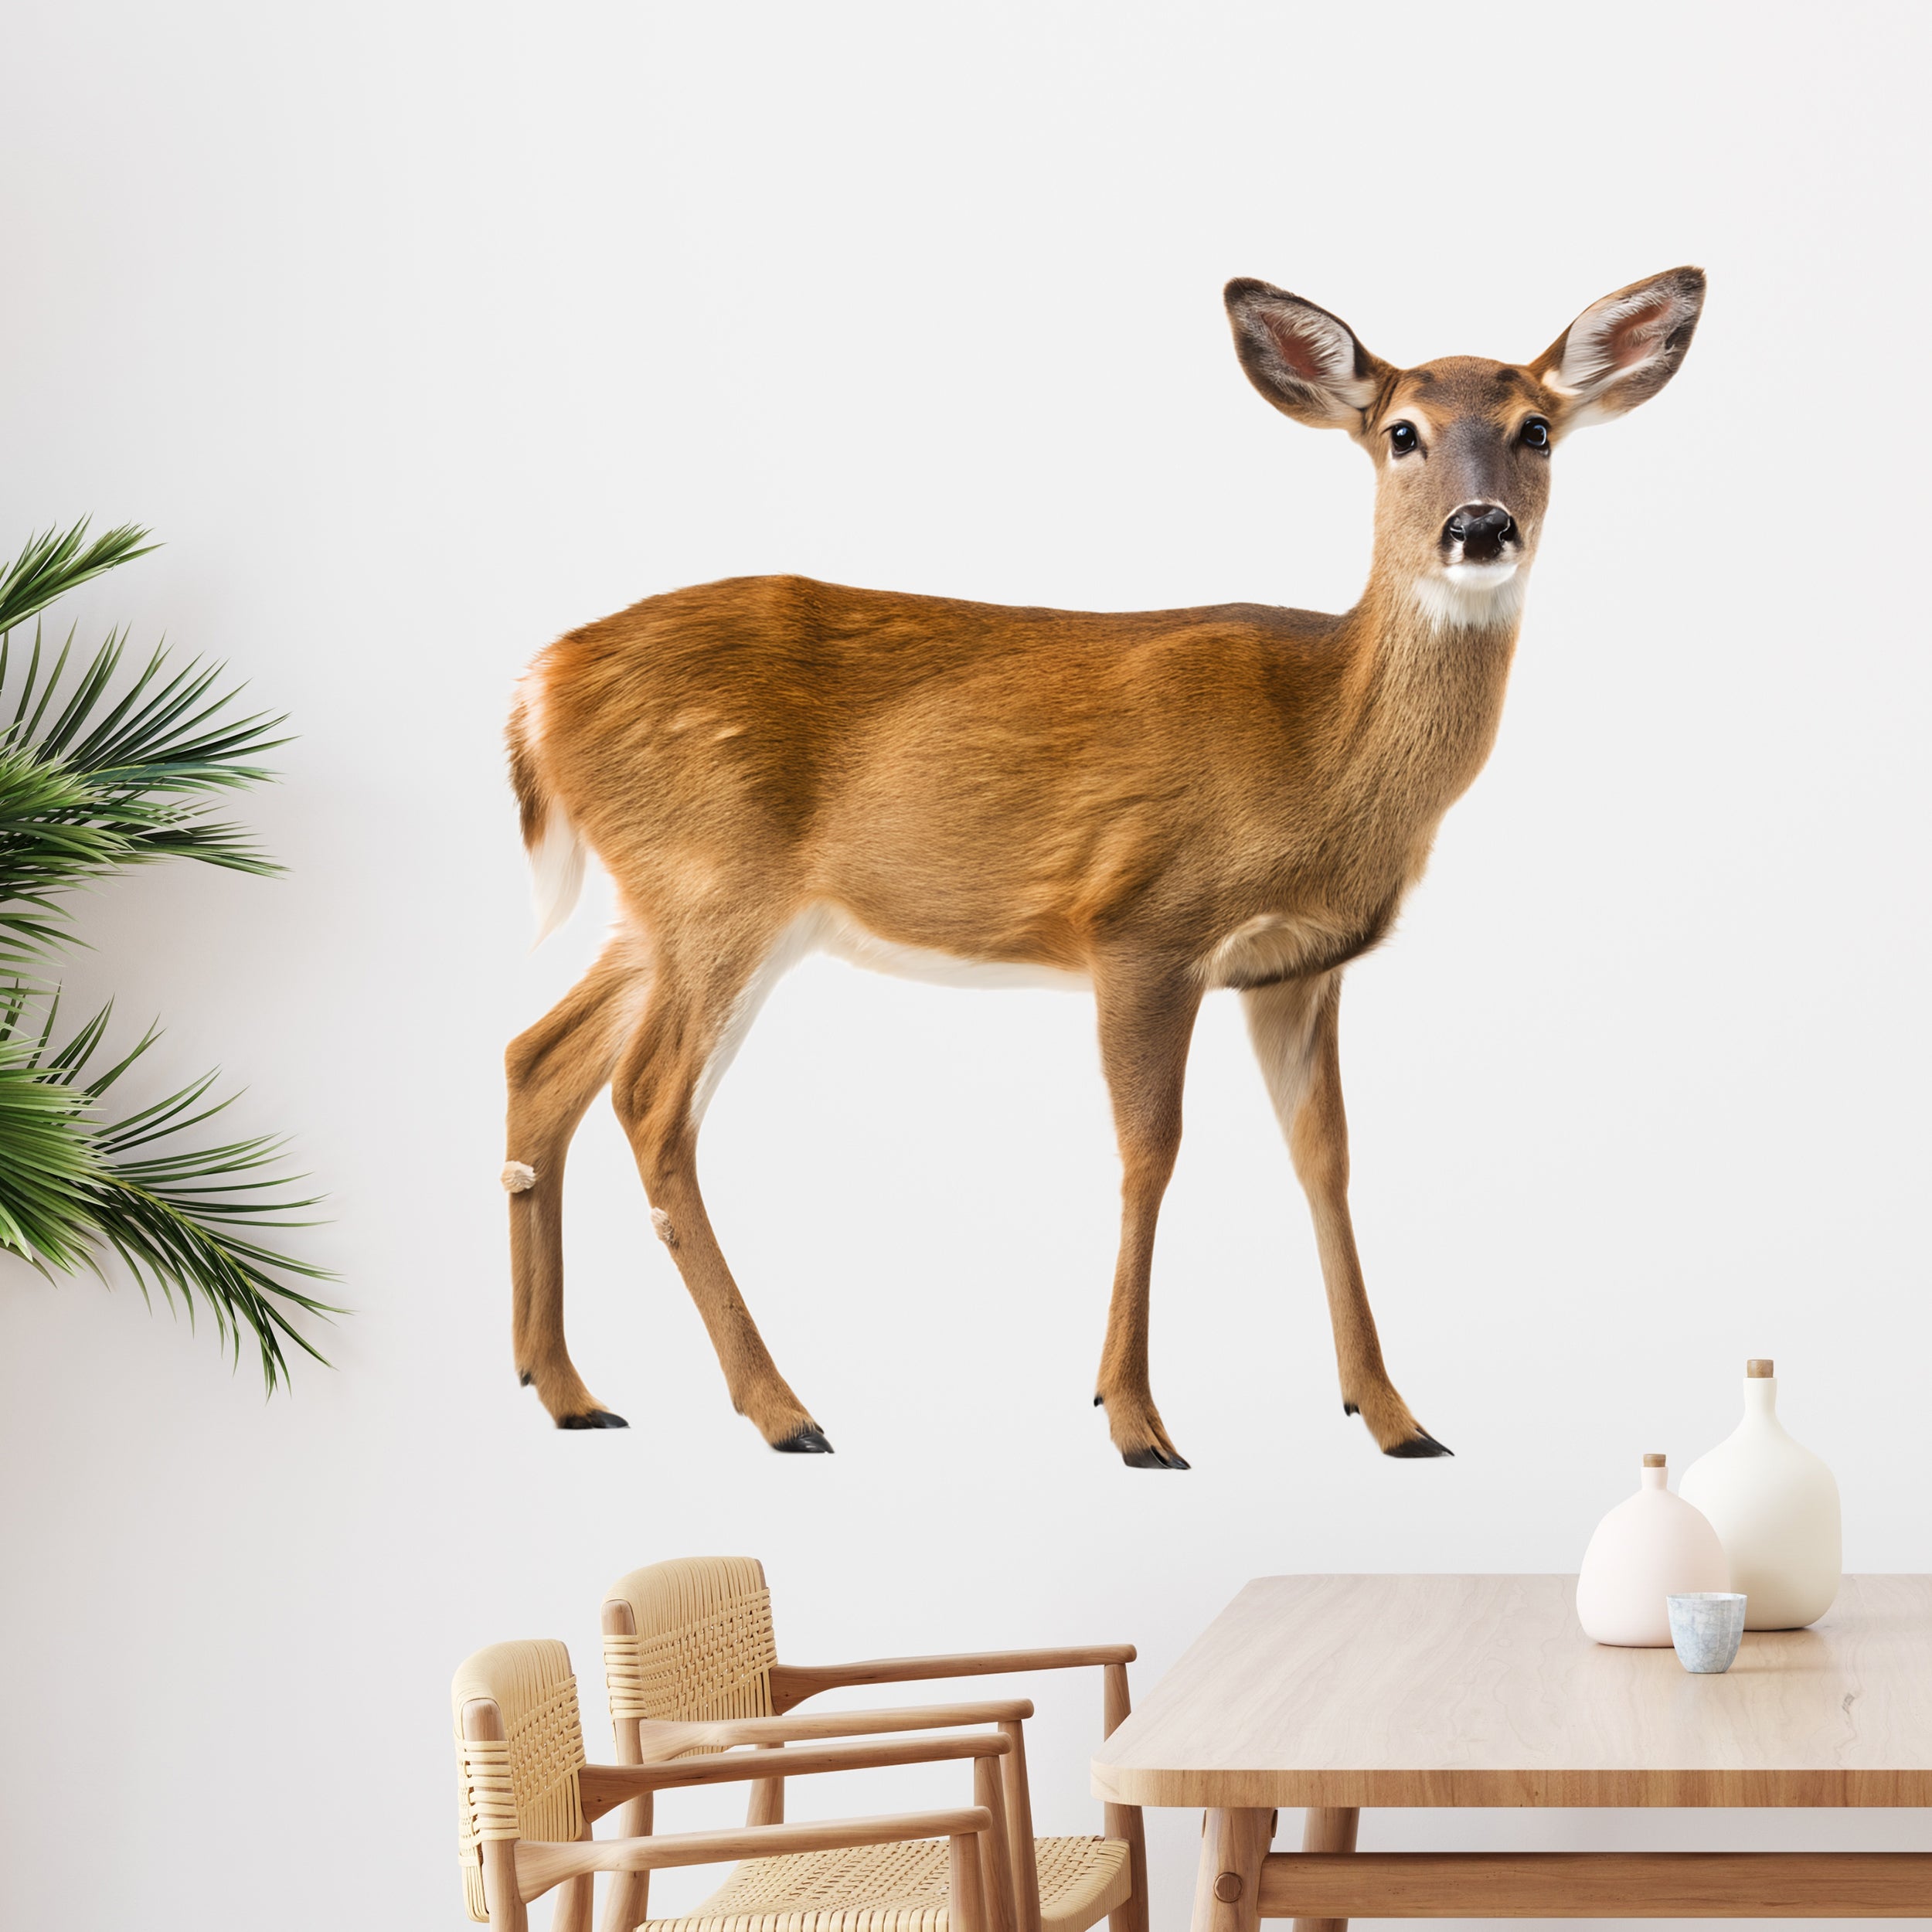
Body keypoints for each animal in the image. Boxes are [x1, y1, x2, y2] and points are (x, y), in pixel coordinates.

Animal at [501, 266, 1705, 1466]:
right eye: (1401, 431)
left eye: (1535, 429)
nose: (1481, 525)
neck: (1321, 739)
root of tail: (541, 683)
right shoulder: (1145, 925)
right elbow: (1150, 1151)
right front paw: (1134, 1419)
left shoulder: (1297, 968)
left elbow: (1326, 1158)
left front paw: (1394, 1416)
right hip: (719, 883)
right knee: (650, 1098)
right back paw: (782, 1410)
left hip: (661, 901)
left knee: (539, 1056)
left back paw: (566, 1388)